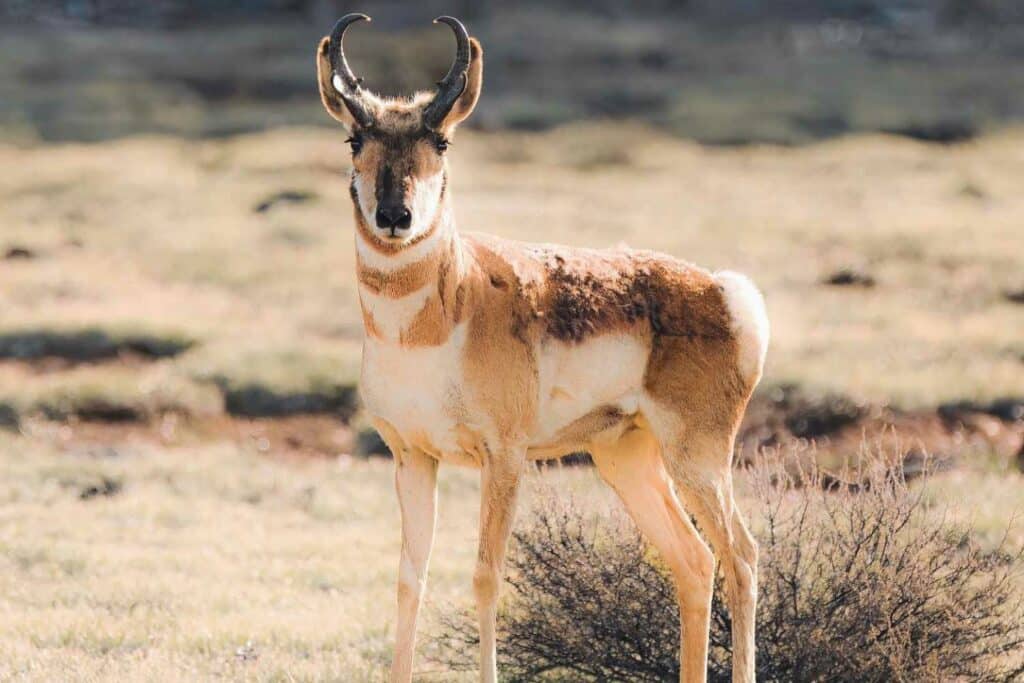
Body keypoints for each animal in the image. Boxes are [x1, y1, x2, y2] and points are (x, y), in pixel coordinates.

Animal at [317, 13, 770, 679]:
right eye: (355, 139)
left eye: (442, 141)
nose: (394, 216)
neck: (444, 312)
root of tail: (722, 289)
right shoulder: (412, 458)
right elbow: (409, 582)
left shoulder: (502, 459)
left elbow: (485, 576)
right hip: (627, 460)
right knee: (694, 561)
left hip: (697, 460)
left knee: (741, 555)